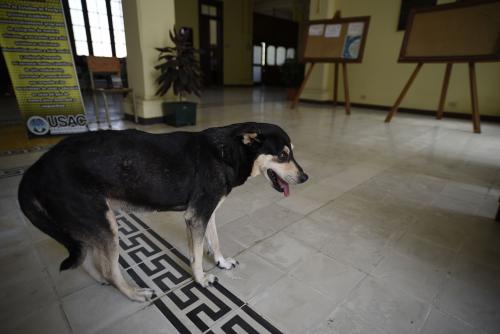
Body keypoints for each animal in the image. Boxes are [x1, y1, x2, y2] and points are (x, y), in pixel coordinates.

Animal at [17, 121, 306, 302]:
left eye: (292, 153)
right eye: (282, 155)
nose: (305, 178)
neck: (229, 151)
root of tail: (35, 169)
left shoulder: (207, 212)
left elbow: (213, 241)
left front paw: (221, 262)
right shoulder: (196, 216)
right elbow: (197, 256)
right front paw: (201, 280)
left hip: (88, 225)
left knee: (87, 258)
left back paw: (101, 280)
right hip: (104, 225)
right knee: (110, 269)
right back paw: (133, 293)